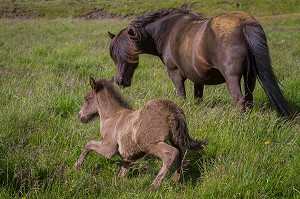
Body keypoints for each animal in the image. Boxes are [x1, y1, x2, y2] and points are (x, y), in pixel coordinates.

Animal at [75, 77, 207, 190]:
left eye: (87, 98)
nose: (80, 116)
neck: (111, 116)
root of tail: (173, 110)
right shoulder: (127, 155)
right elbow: (124, 168)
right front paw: (119, 181)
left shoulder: (108, 148)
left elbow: (89, 144)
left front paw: (77, 165)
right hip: (175, 139)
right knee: (180, 153)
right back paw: (175, 179)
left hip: (147, 143)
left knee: (171, 153)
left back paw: (153, 186)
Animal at [109, 3, 292, 116]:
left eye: (128, 55)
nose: (119, 81)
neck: (167, 31)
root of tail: (244, 24)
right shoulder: (198, 76)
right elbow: (198, 97)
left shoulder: (175, 73)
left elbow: (181, 95)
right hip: (250, 77)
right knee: (249, 99)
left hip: (232, 78)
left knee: (240, 101)